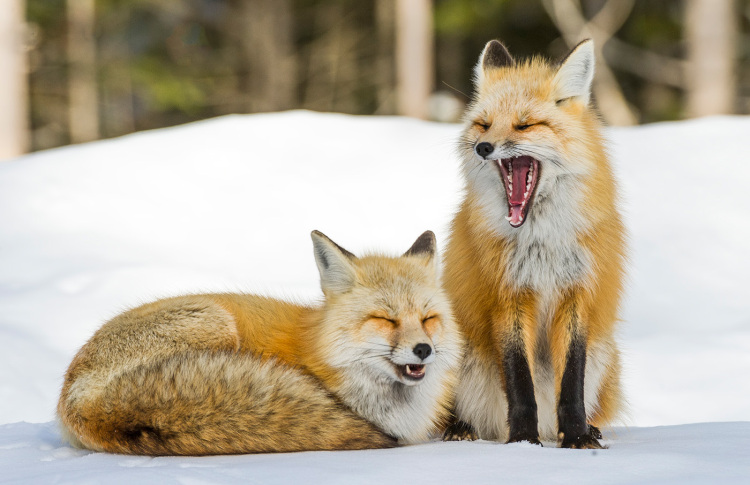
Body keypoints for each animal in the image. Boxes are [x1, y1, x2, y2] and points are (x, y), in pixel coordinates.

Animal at [441, 39, 626, 449]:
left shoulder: (577, 294)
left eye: (524, 125)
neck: (541, 243)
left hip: (605, 351)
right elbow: (519, 381)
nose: (482, 147)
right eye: (483, 124)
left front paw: (577, 437)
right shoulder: (506, 297)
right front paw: (524, 442)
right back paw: (462, 427)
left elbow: (571, 381)